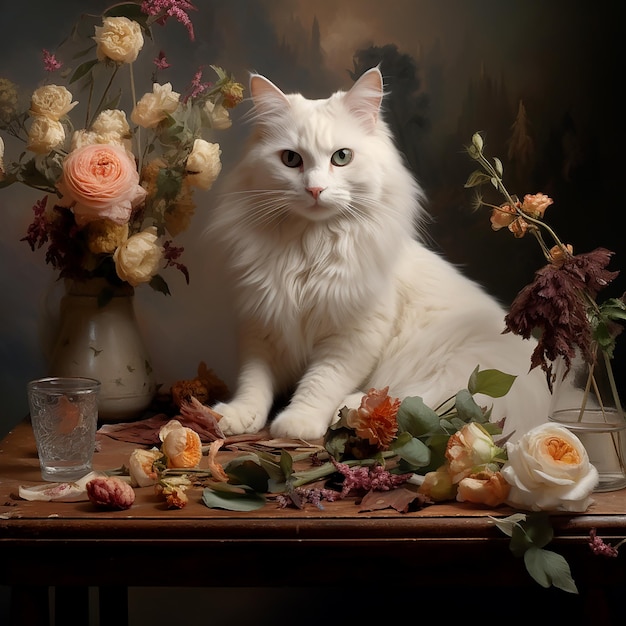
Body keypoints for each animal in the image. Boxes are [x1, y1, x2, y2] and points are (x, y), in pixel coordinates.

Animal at [207, 67, 548, 438]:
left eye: (341, 157)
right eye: (291, 159)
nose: (315, 189)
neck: (310, 247)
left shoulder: (352, 336)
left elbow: (319, 383)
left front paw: (298, 422)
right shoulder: (262, 326)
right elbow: (254, 382)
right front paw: (238, 415)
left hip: (460, 369)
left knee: (421, 400)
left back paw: (354, 410)